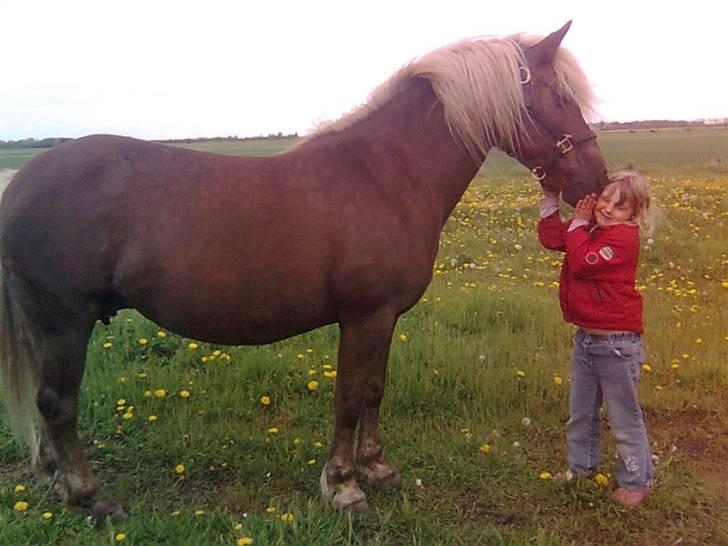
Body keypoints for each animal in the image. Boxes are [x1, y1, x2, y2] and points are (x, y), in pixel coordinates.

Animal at [0, 22, 608, 520]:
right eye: (559, 95)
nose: (597, 181)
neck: (383, 175)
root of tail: (20, 183)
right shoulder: (363, 317)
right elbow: (348, 397)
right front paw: (343, 487)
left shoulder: (385, 318)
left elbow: (374, 390)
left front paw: (378, 469)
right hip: (62, 322)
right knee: (58, 404)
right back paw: (91, 497)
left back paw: (60, 485)